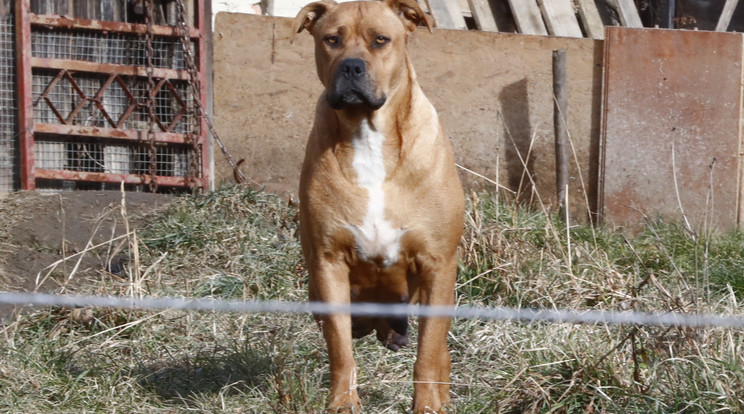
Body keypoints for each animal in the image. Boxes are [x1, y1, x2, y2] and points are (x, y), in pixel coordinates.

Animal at [292, 0, 462, 410]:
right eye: (331, 40)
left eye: (380, 40)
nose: (352, 66)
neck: (368, 134)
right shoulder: (329, 264)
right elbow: (340, 349)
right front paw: (343, 402)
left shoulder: (438, 265)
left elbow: (429, 351)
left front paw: (427, 404)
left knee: (439, 349)